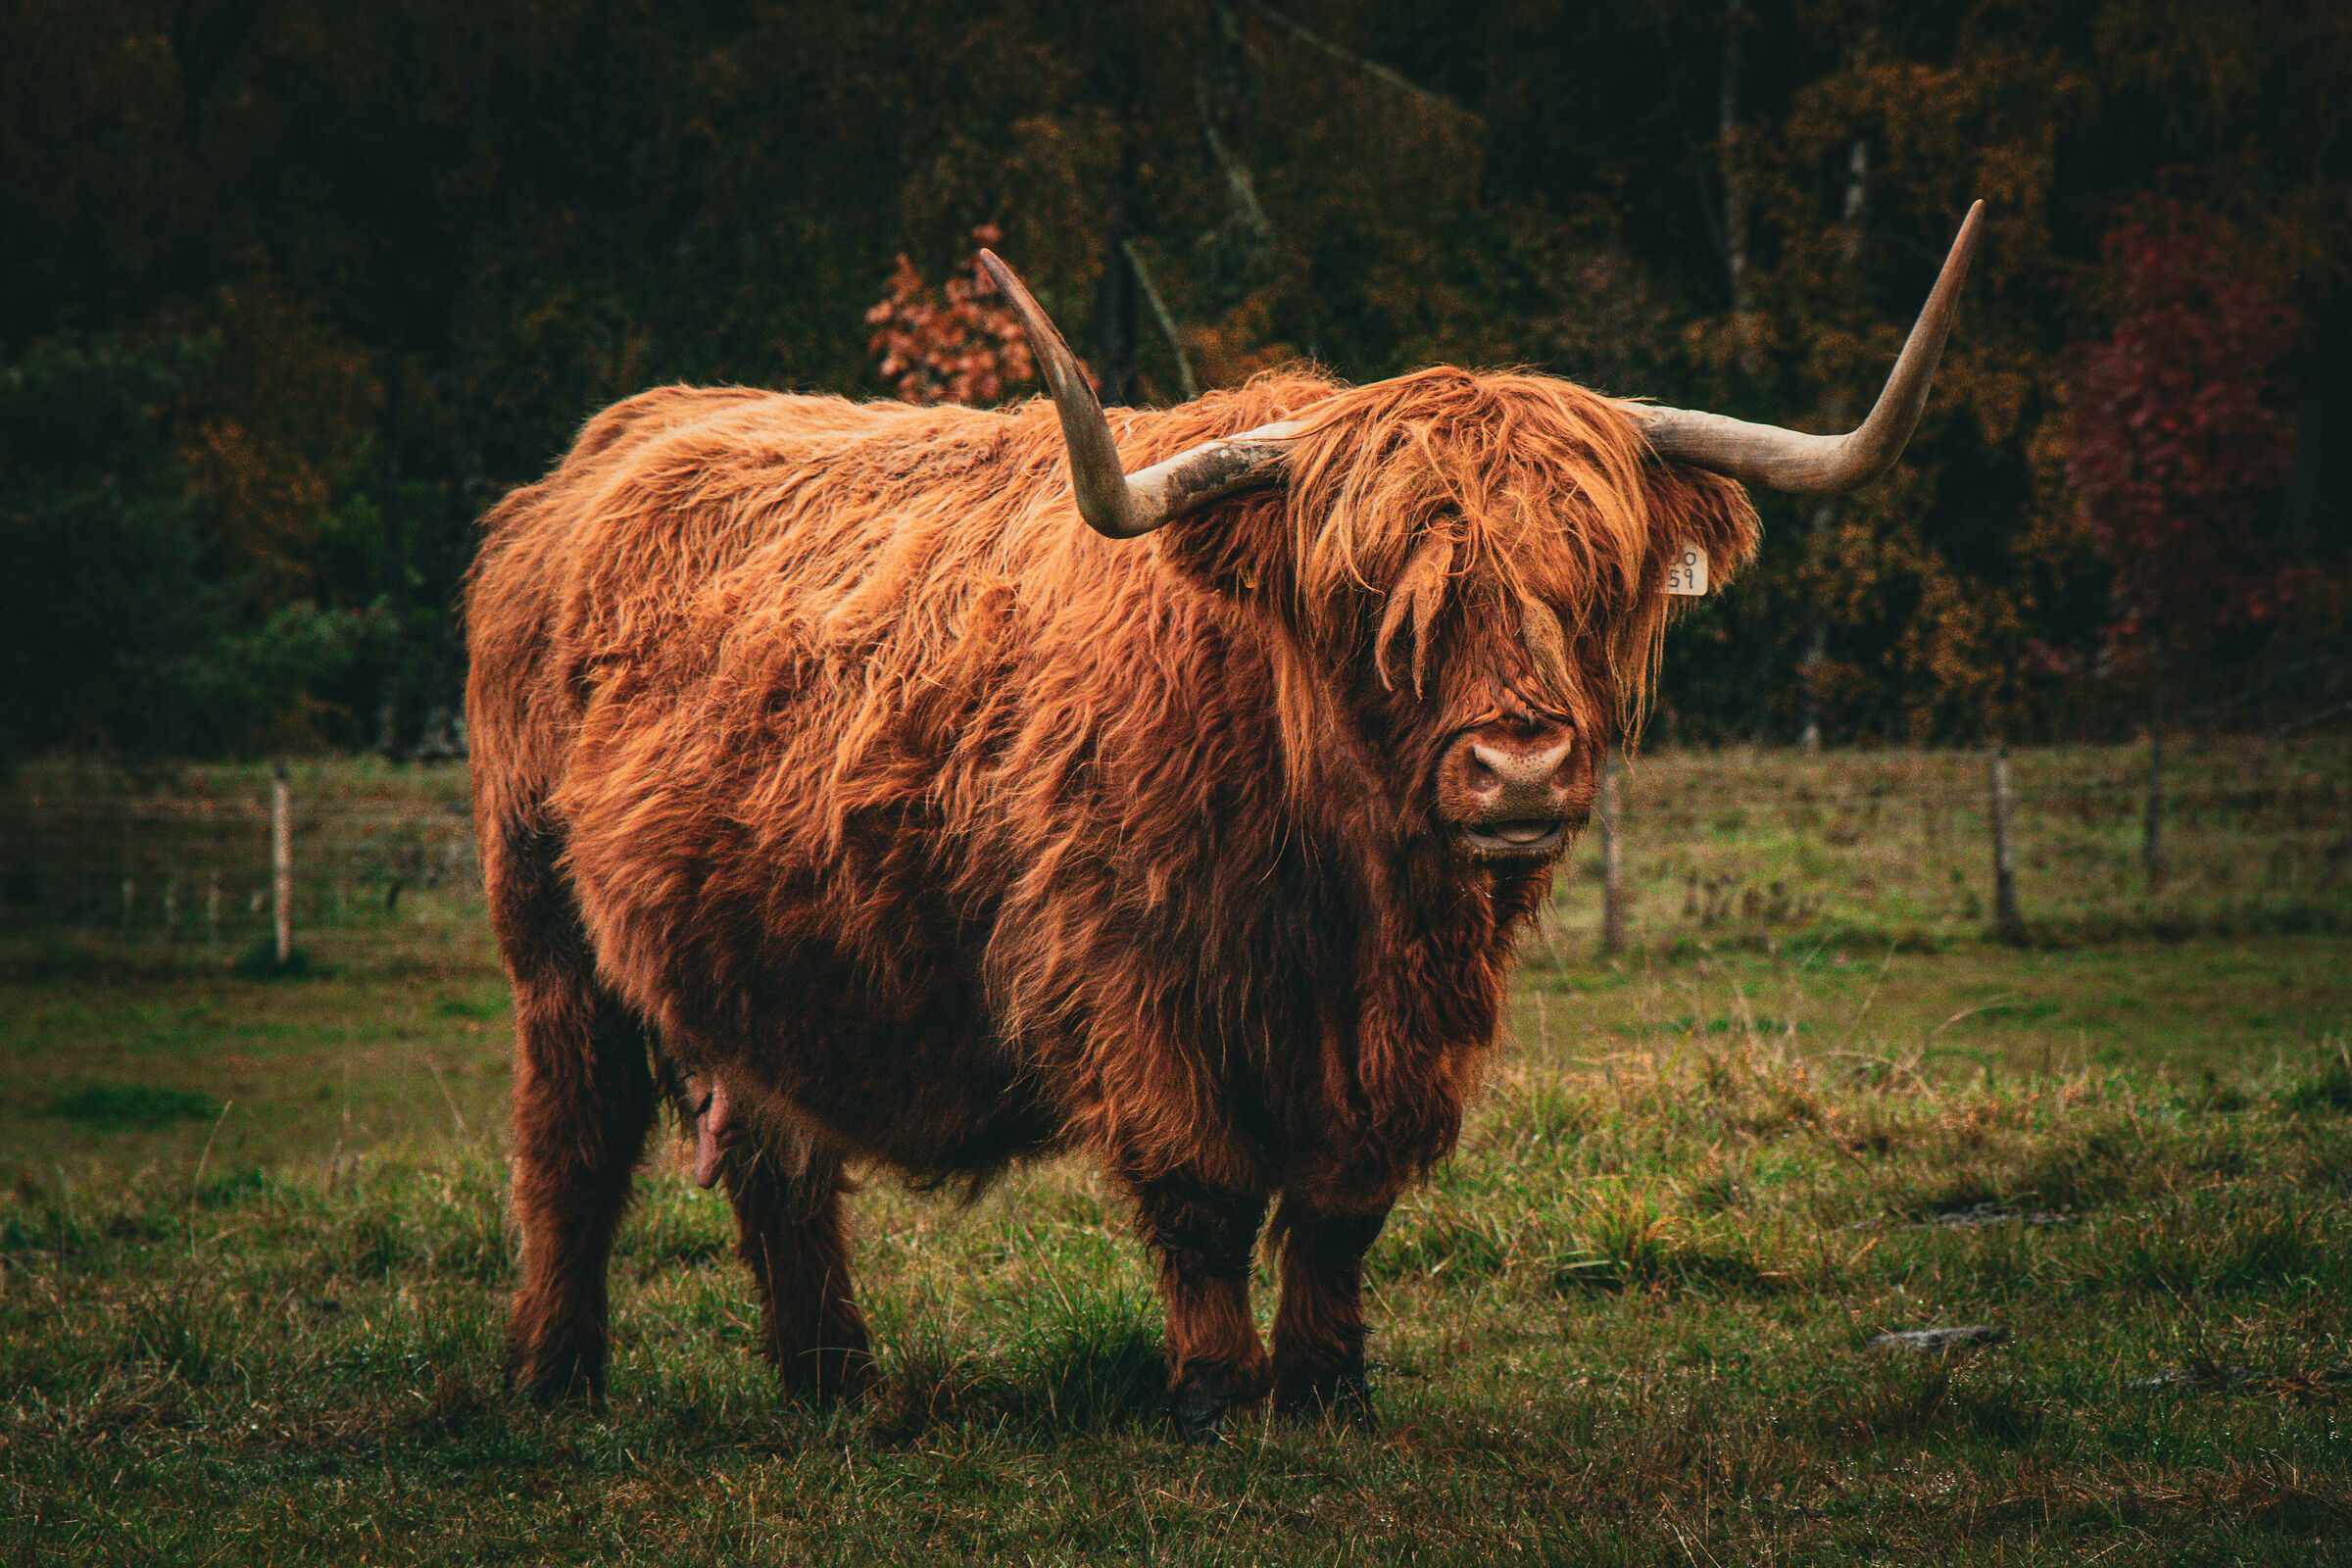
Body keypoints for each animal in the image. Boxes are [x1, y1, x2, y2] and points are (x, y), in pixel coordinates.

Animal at [466, 204, 1984, 1437]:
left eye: (1592, 587)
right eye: (1381, 602)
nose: (1520, 773)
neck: (1342, 893)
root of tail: (596, 454)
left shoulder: (1406, 1031)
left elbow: (1342, 1204)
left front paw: (1325, 1384)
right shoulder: (1126, 976)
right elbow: (1199, 1189)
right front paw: (1211, 1388)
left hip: (763, 963)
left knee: (776, 1156)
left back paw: (835, 1381)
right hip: (549, 936)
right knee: (572, 1143)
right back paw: (553, 1377)